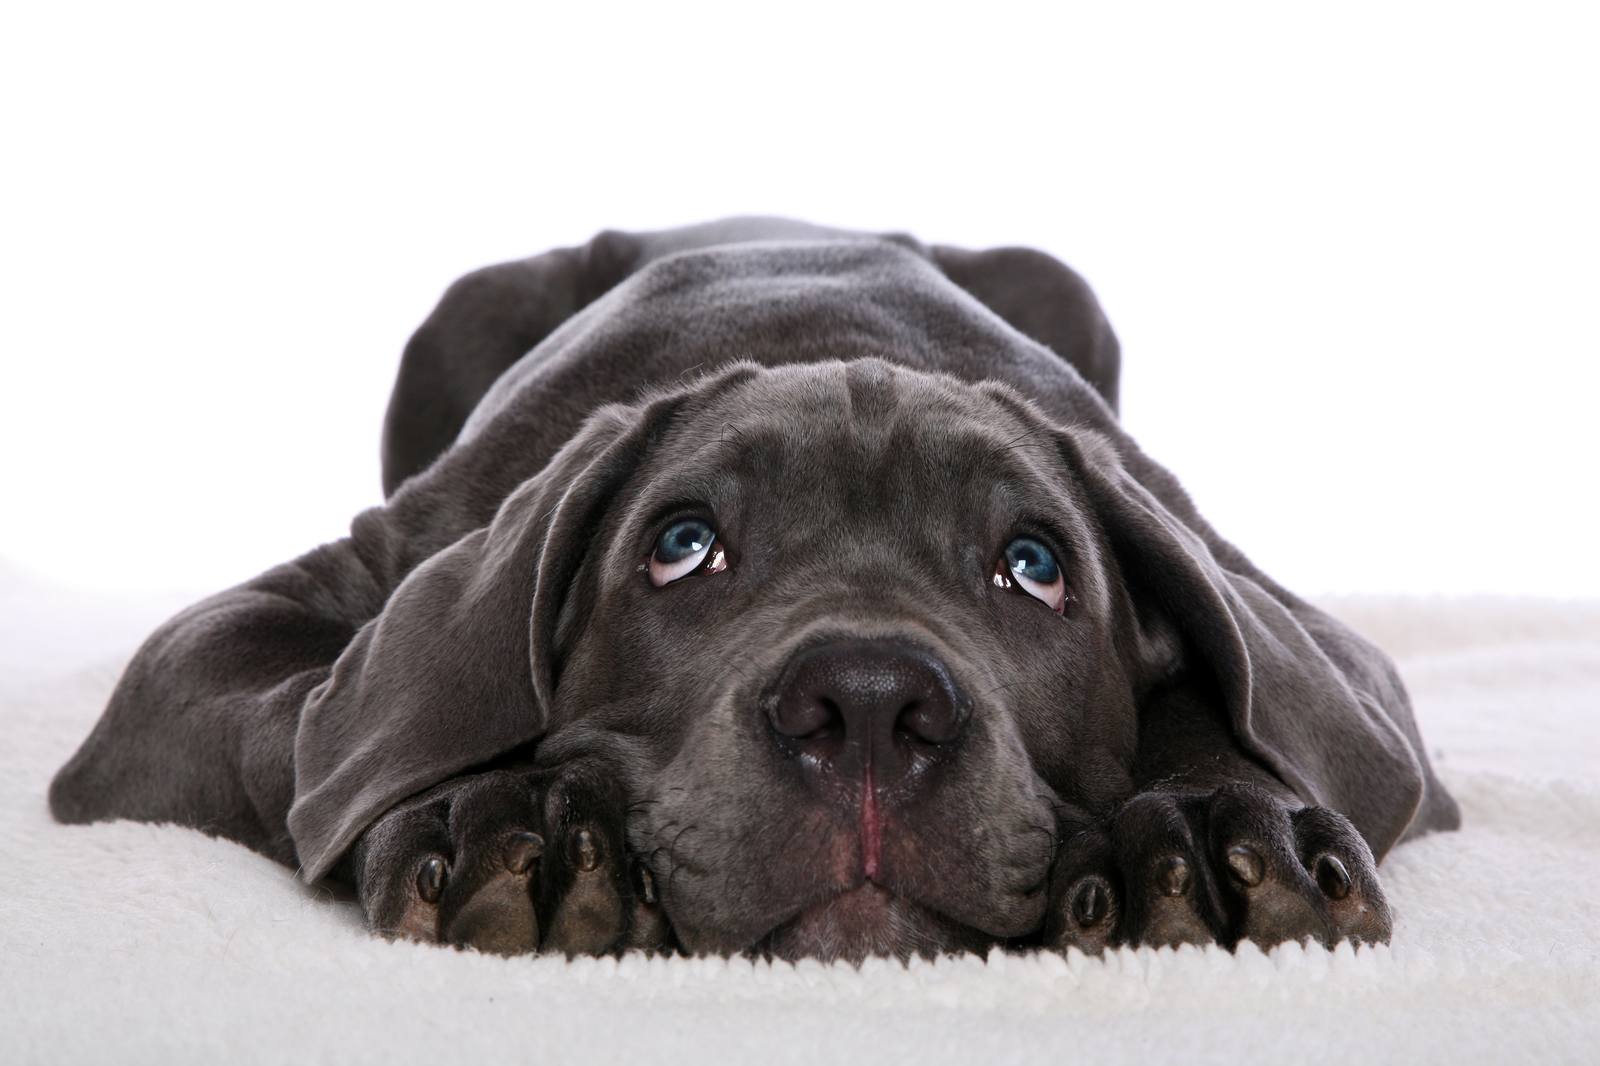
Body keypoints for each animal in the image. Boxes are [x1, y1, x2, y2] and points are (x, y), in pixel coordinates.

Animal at [50, 214, 1459, 953]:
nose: (873, 705)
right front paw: (500, 811)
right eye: (681, 546)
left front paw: (1220, 827)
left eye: (1034, 566)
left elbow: (1232, 700)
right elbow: (326, 719)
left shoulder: (1317, 643)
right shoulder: (222, 648)